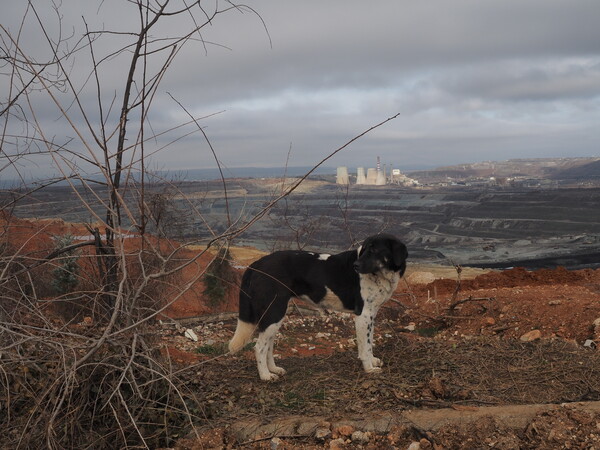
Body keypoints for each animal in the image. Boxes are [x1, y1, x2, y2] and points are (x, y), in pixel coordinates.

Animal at [230, 234, 408, 382]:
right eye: (364, 250)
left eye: (374, 250)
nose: (355, 266)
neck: (382, 274)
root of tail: (256, 264)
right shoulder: (363, 316)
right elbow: (365, 347)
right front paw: (369, 368)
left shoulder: (372, 314)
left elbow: (370, 342)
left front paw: (373, 361)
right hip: (274, 312)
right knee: (259, 347)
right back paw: (265, 376)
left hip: (275, 315)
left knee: (268, 345)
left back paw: (273, 369)